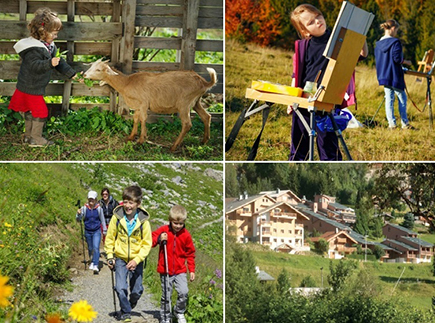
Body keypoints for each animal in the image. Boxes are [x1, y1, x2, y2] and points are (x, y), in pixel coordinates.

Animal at [83, 58, 216, 152]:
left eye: (98, 70)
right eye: (92, 66)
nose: (84, 75)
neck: (127, 83)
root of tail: (204, 82)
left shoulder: (143, 103)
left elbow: (143, 119)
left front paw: (141, 140)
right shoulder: (138, 105)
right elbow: (136, 118)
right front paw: (131, 137)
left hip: (184, 103)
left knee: (187, 124)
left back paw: (173, 146)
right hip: (196, 102)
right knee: (206, 116)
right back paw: (204, 141)